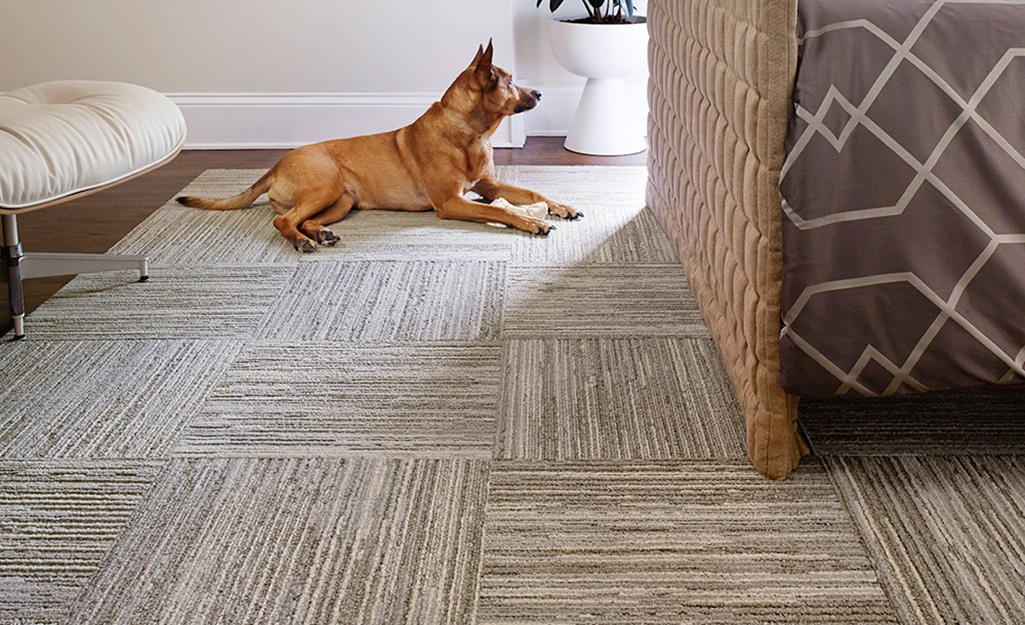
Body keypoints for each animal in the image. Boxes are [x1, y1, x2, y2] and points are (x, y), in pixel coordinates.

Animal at [175, 40, 578, 251]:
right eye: (508, 81)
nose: (539, 93)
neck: (470, 132)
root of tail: (276, 165)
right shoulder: (451, 202)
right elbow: (504, 212)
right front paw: (532, 222)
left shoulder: (489, 186)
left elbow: (531, 191)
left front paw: (561, 206)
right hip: (325, 186)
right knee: (282, 220)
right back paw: (302, 240)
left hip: (341, 201)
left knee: (304, 220)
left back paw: (318, 233)